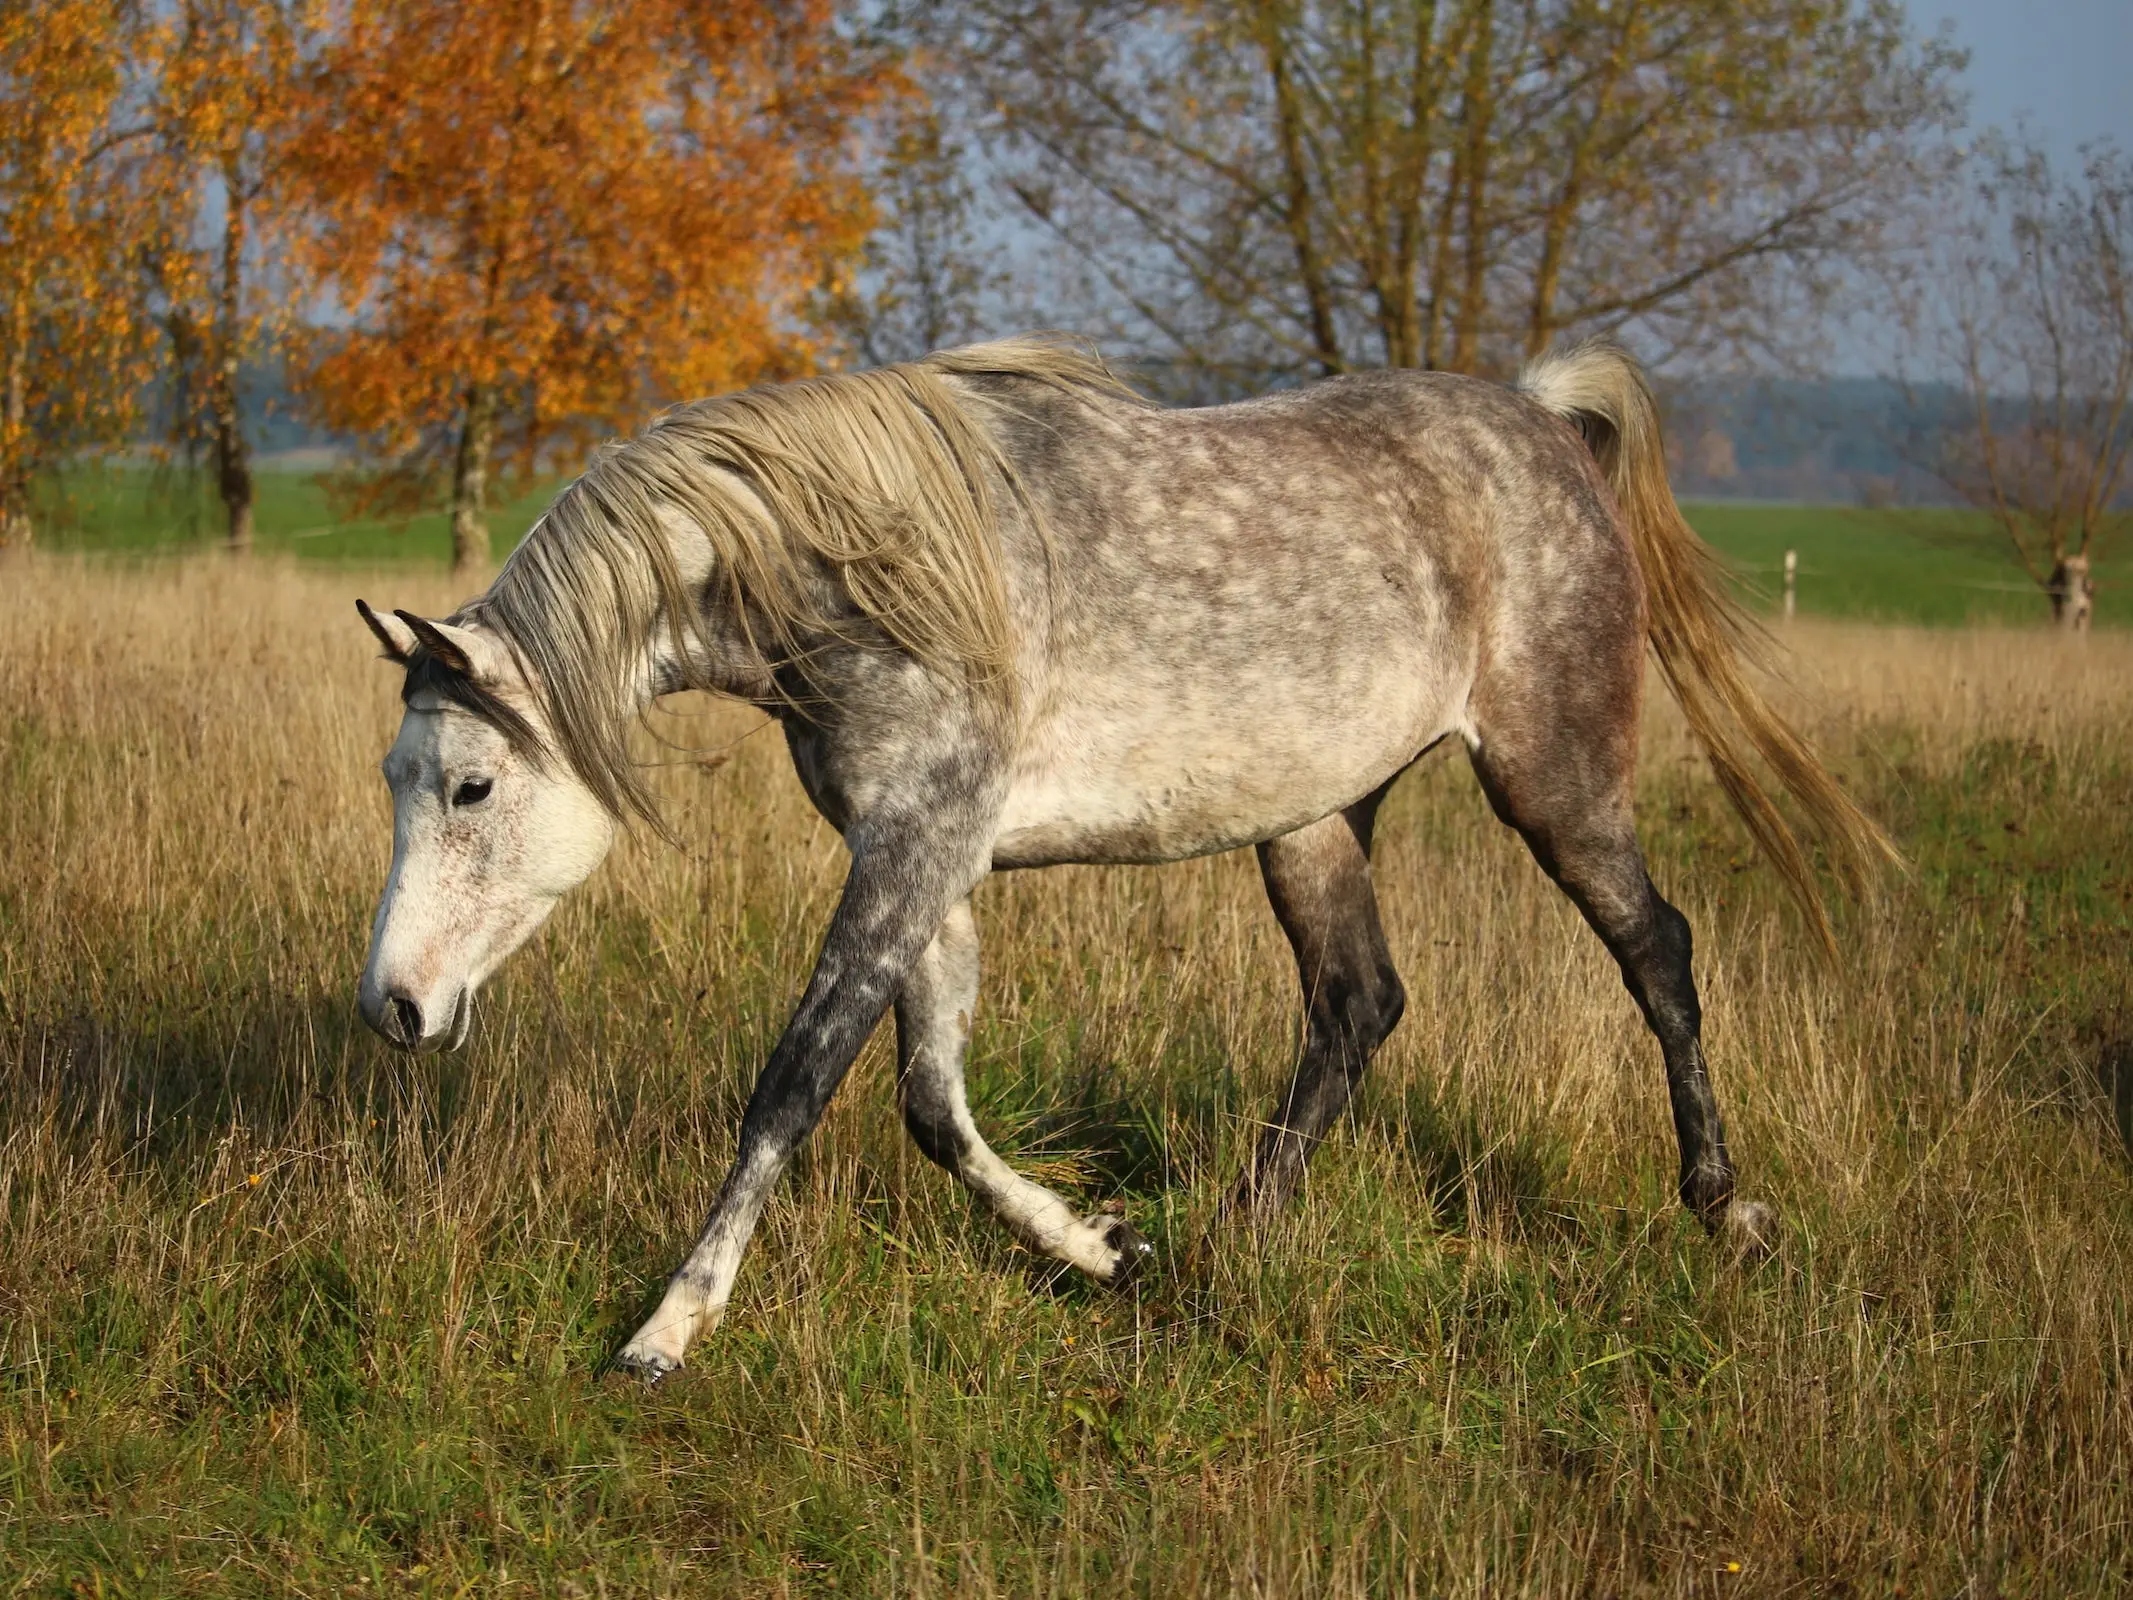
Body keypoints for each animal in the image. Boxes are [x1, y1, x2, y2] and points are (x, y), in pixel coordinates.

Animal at [358, 334, 1894, 1382]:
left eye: (472, 784)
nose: (393, 1009)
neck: (873, 566)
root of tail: (1540, 422)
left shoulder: (913, 852)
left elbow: (794, 1083)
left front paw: (667, 1328)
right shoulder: (927, 866)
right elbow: (932, 1104)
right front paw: (1103, 1250)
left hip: (1555, 781)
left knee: (1655, 955)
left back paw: (1723, 1207)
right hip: (1314, 821)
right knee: (1356, 1005)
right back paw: (1225, 1245)